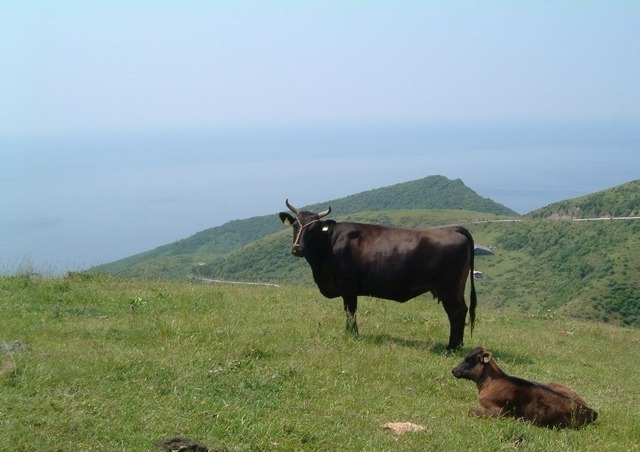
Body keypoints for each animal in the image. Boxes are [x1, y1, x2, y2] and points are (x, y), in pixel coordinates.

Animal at [278, 200, 478, 352]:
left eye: (313, 229)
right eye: (295, 225)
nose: (298, 248)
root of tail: (454, 229)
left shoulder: (348, 287)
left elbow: (350, 311)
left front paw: (351, 334)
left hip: (449, 289)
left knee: (456, 312)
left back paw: (451, 347)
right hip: (457, 289)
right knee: (462, 310)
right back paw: (458, 345)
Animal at [452, 348, 596, 430]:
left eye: (469, 360)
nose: (453, 370)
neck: (491, 383)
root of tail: (592, 411)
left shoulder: (499, 411)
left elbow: (471, 410)